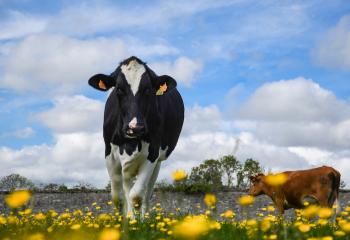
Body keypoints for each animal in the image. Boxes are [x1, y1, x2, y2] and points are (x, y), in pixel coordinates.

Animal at [89, 56, 185, 216]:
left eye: (148, 89)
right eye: (119, 89)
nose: (135, 128)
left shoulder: (152, 154)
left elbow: (136, 196)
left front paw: (137, 222)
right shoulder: (110, 154)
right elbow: (118, 198)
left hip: (157, 162)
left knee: (146, 195)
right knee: (127, 189)